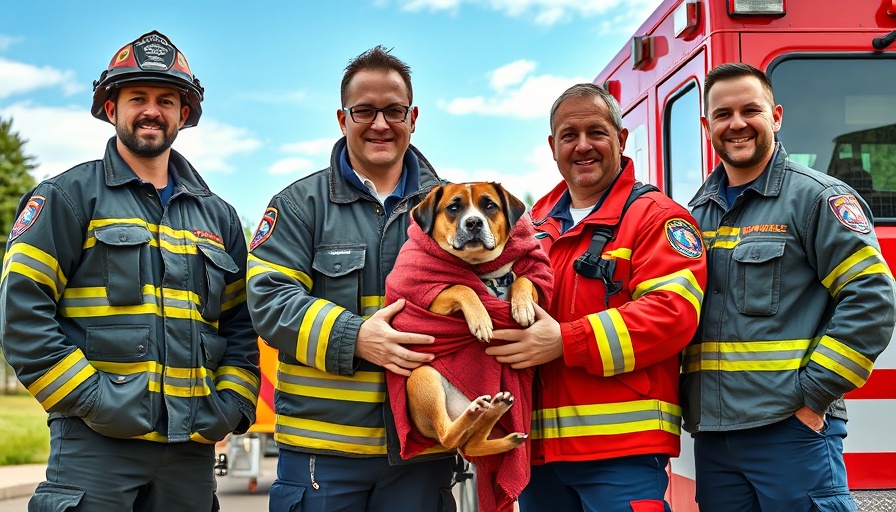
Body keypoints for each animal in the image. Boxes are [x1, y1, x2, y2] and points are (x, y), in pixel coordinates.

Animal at [384, 216, 552, 512]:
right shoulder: (433, 300)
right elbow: (463, 287)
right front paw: (481, 318)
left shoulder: (532, 290)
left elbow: (525, 281)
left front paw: (521, 306)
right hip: (425, 377)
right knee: (448, 435)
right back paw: (476, 412)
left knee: (470, 445)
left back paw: (497, 413)